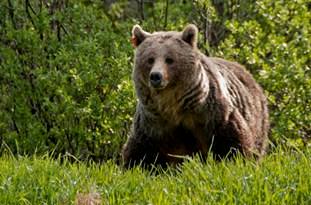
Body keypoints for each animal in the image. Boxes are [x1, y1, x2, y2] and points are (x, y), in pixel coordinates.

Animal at [122, 24, 270, 168]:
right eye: (150, 59)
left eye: (169, 59)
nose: (156, 76)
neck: (172, 105)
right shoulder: (153, 123)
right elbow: (141, 151)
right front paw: (135, 166)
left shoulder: (211, 114)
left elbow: (232, 142)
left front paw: (235, 161)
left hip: (257, 118)